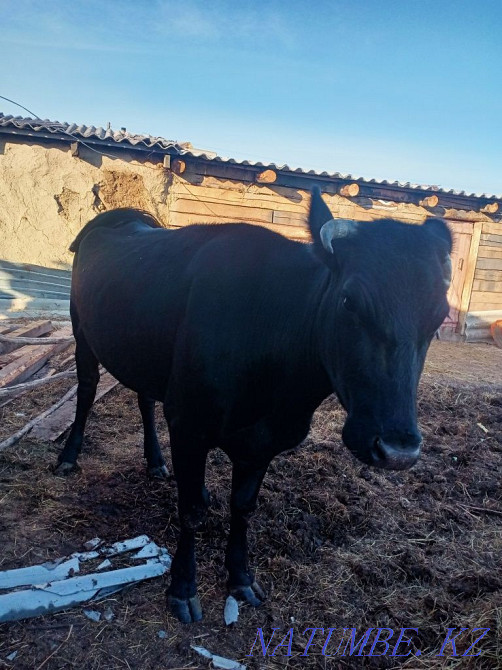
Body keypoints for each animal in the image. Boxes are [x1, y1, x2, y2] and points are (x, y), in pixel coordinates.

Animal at [56, 187, 452, 623]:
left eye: (440, 315)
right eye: (349, 301)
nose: (398, 450)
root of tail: (122, 217)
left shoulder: (265, 441)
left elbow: (243, 507)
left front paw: (241, 578)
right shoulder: (189, 423)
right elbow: (191, 509)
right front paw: (182, 588)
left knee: (144, 398)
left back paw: (157, 462)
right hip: (81, 331)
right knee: (87, 390)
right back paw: (68, 456)